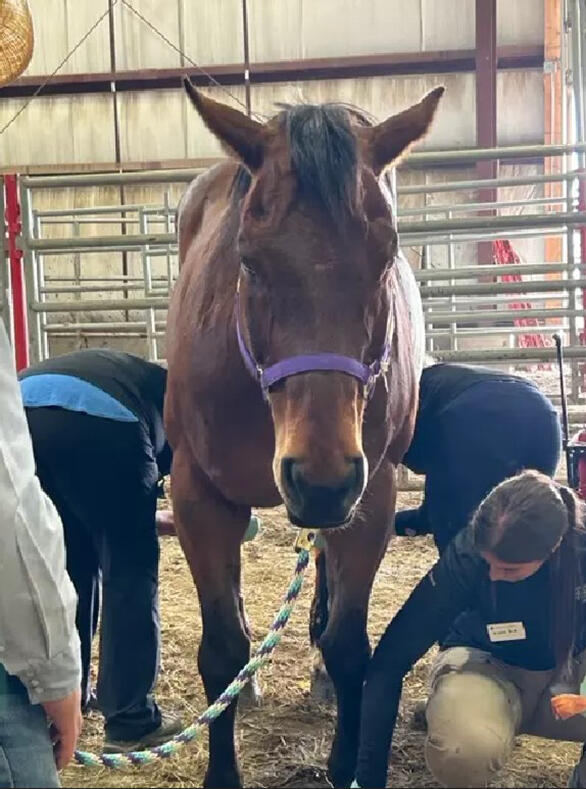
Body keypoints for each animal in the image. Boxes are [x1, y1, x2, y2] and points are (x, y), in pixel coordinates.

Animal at [163, 81, 438, 788]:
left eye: (386, 259)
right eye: (249, 261)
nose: (320, 480)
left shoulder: (372, 495)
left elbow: (349, 645)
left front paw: (344, 761)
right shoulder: (197, 497)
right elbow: (221, 649)